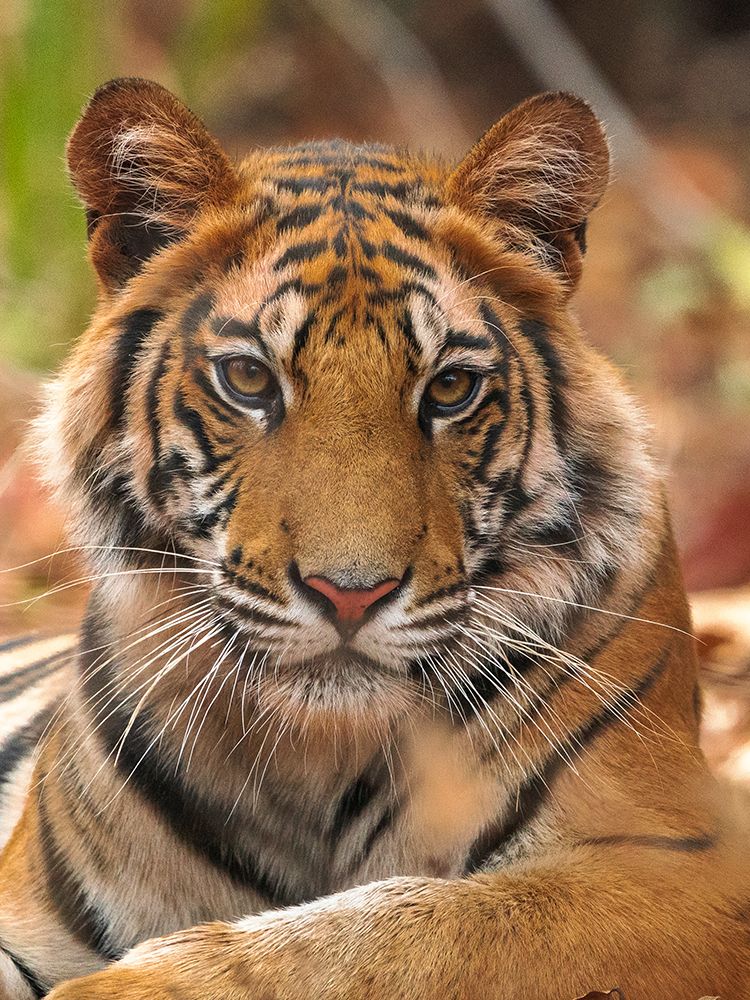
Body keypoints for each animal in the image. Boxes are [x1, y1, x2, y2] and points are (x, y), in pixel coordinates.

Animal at [0, 76, 747, 1000]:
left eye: (451, 388)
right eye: (247, 378)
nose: (349, 595)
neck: (316, 756)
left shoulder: (681, 864)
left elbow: (409, 928)